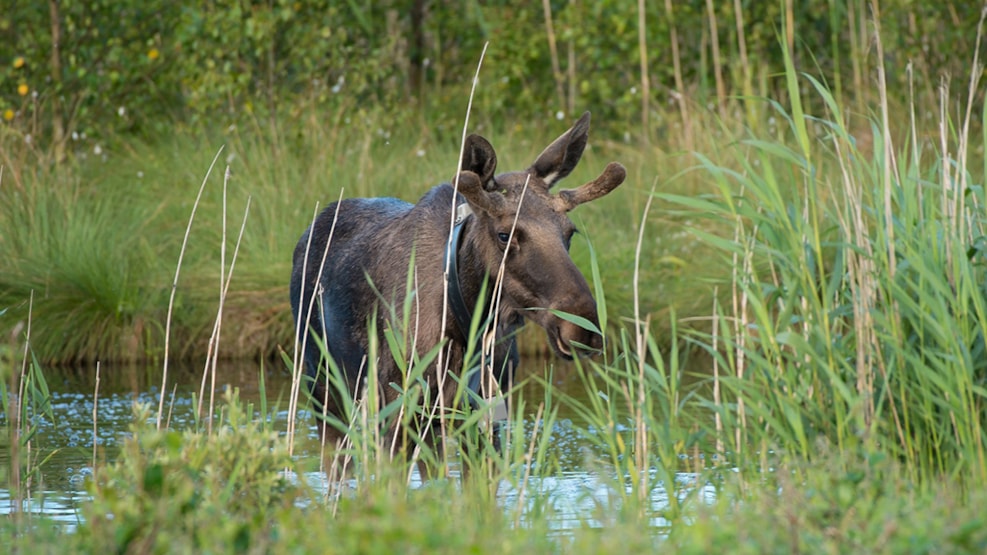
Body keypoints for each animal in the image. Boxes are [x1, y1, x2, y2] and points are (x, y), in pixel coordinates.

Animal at [290, 112, 624, 474]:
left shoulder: (483, 421)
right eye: (505, 234)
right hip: (326, 394)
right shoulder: (396, 417)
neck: (467, 325)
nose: (582, 327)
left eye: (570, 232)